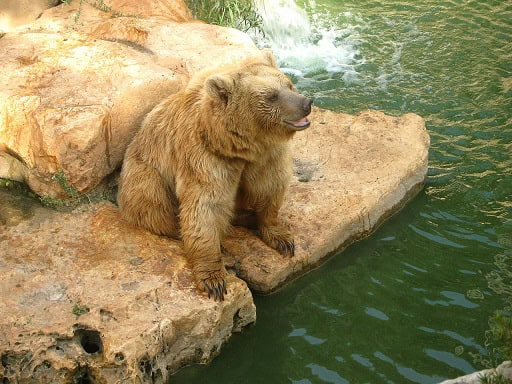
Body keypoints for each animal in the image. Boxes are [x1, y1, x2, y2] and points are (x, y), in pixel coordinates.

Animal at [118, 52, 312, 302]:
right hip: (146, 172)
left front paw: (283, 239)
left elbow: (269, 188)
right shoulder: (206, 157)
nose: (306, 103)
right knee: (154, 205)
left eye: (288, 84)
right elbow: (205, 207)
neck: (241, 147)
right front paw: (214, 280)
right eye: (271, 96)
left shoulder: (267, 156)